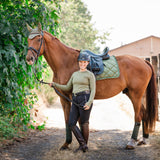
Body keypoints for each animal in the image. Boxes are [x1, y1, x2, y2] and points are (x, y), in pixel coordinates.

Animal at [26, 23, 158, 150]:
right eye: (28, 39)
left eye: (39, 39)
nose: (29, 59)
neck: (65, 63)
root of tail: (144, 61)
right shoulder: (63, 99)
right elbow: (68, 121)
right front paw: (67, 144)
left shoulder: (73, 98)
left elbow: (78, 121)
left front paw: (82, 144)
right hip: (136, 94)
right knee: (144, 113)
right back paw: (143, 139)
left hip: (136, 95)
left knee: (138, 116)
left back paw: (131, 142)